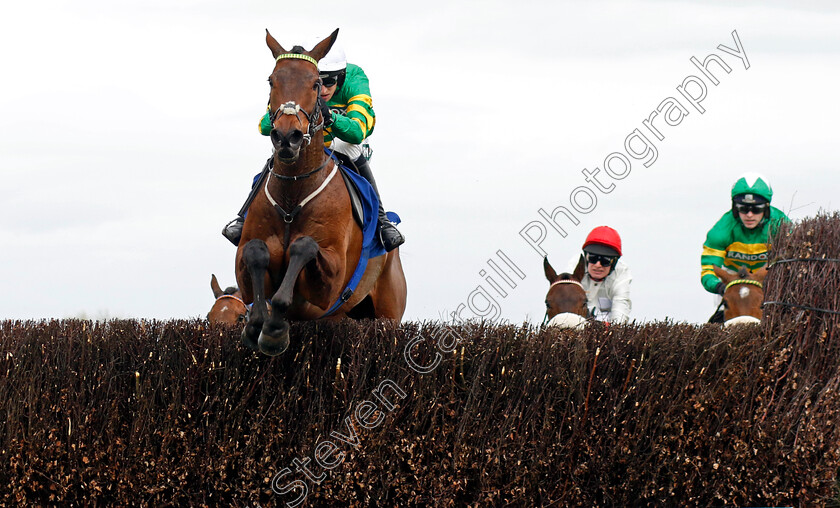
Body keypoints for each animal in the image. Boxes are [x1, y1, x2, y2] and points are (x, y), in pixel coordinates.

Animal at [236, 29, 406, 356]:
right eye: (271, 80)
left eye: (316, 82)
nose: (286, 137)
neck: (292, 193)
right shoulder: (244, 264)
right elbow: (255, 251)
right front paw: (257, 323)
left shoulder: (330, 282)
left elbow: (304, 246)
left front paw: (274, 330)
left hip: (388, 314)